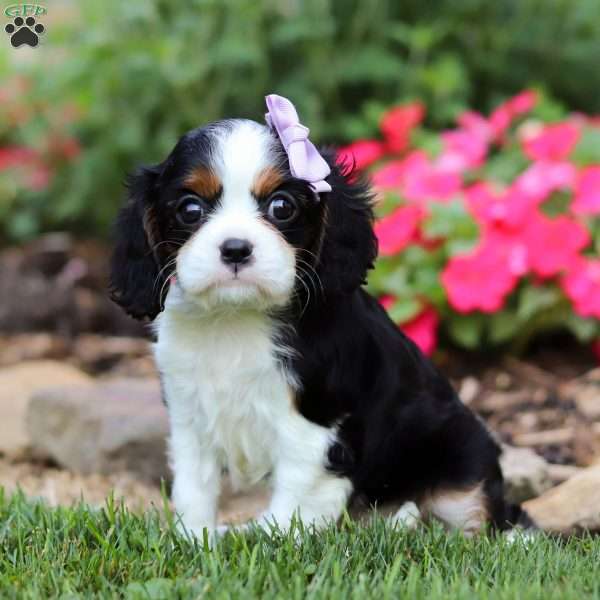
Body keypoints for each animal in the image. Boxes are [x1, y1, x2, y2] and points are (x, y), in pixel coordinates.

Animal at [110, 95, 528, 540]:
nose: (236, 248)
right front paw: (195, 537)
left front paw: (267, 539)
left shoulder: (312, 427)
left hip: (460, 462)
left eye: (282, 206)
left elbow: (292, 502)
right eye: (190, 209)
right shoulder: (190, 418)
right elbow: (194, 487)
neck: (235, 318)